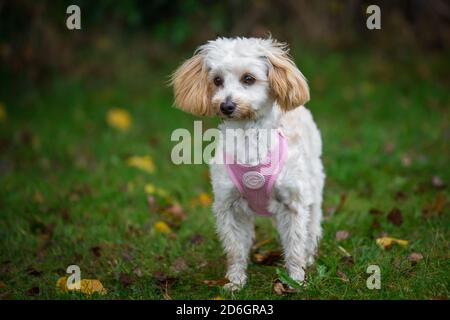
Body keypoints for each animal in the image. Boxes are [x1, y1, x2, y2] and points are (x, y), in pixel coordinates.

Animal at [171, 36, 324, 292]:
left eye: (248, 79)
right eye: (217, 80)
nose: (226, 106)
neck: (248, 138)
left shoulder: (292, 203)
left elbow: (294, 245)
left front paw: (295, 278)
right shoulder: (228, 205)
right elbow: (235, 248)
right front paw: (235, 281)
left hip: (312, 187)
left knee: (311, 225)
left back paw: (310, 255)